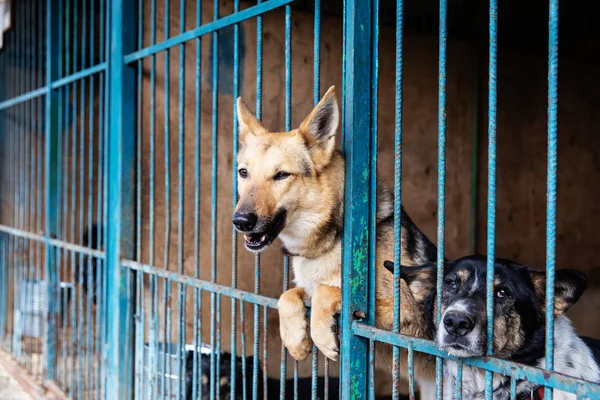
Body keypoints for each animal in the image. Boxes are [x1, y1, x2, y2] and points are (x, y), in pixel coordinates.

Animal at [236, 86, 440, 396]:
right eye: (243, 173)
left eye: (282, 175)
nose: (240, 221)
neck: (327, 243)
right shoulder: (302, 289)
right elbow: (288, 296)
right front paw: (296, 341)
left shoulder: (403, 319)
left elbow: (328, 291)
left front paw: (321, 337)